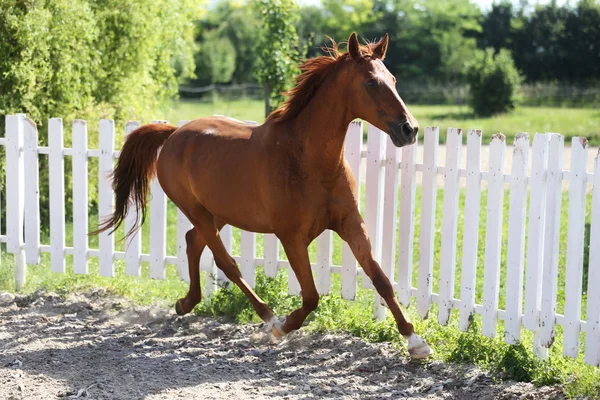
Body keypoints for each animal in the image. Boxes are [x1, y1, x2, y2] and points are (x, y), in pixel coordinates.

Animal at [92, 33, 432, 360]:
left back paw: (185, 303)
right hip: (196, 211)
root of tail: (174, 133)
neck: (309, 160)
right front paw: (283, 327)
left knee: (192, 242)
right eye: (371, 82)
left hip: (217, 214)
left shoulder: (351, 225)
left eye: (393, 79)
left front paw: (415, 342)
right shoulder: (291, 237)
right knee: (226, 262)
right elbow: (311, 296)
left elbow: (381, 279)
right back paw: (267, 317)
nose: (409, 129)